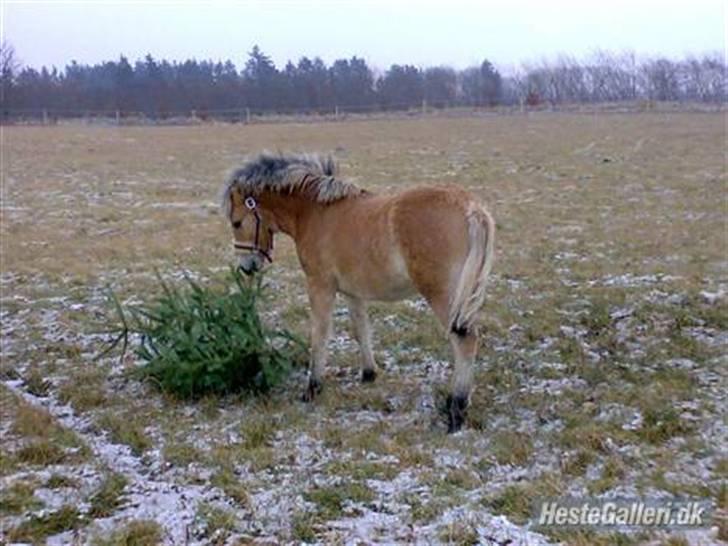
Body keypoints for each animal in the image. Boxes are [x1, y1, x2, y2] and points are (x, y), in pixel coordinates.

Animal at [220, 152, 494, 430]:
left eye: (236, 222)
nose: (246, 267)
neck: (315, 212)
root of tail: (471, 208)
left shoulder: (320, 286)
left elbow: (320, 334)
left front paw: (312, 388)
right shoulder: (353, 292)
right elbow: (361, 330)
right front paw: (369, 373)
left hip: (442, 296)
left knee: (465, 341)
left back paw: (456, 409)